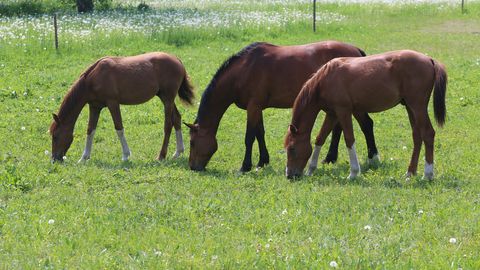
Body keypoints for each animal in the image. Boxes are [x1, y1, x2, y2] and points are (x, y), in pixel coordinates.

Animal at [49, 52, 194, 162]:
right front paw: (84, 158)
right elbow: (90, 130)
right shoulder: (95, 107)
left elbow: (119, 128)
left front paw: (125, 155)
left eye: (55, 136)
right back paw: (178, 152)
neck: (94, 78)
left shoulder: (113, 103)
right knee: (177, 119)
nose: (55, 159)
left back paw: (161, 156)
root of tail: (177, 60)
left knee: (168, 124)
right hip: (166, 98)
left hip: (167, 99)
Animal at [184, 41, 378, 172]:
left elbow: (249, 137)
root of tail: (356, 50)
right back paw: (330, 158)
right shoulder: (257, 107)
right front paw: (263, 161)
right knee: (339, 128)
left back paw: (373, 158)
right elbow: (260, 133)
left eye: (192, 142)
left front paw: (245, 166)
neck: (244, 70)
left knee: (366, 125)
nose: (192, 167)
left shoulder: (253, 106)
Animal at [284, 49, 446, 180]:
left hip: (418, 107)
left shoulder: (343, 111)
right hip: (410, 108)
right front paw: (311, 170)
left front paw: (353, 173)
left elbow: (349, 139)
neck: (326, 79)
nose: (289, 175)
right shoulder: (332, 114)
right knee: (417, 137)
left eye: (292, 149)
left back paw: (427, 174)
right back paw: (410, 173)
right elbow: (320, 138)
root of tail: (429, 59)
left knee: (428, 133)